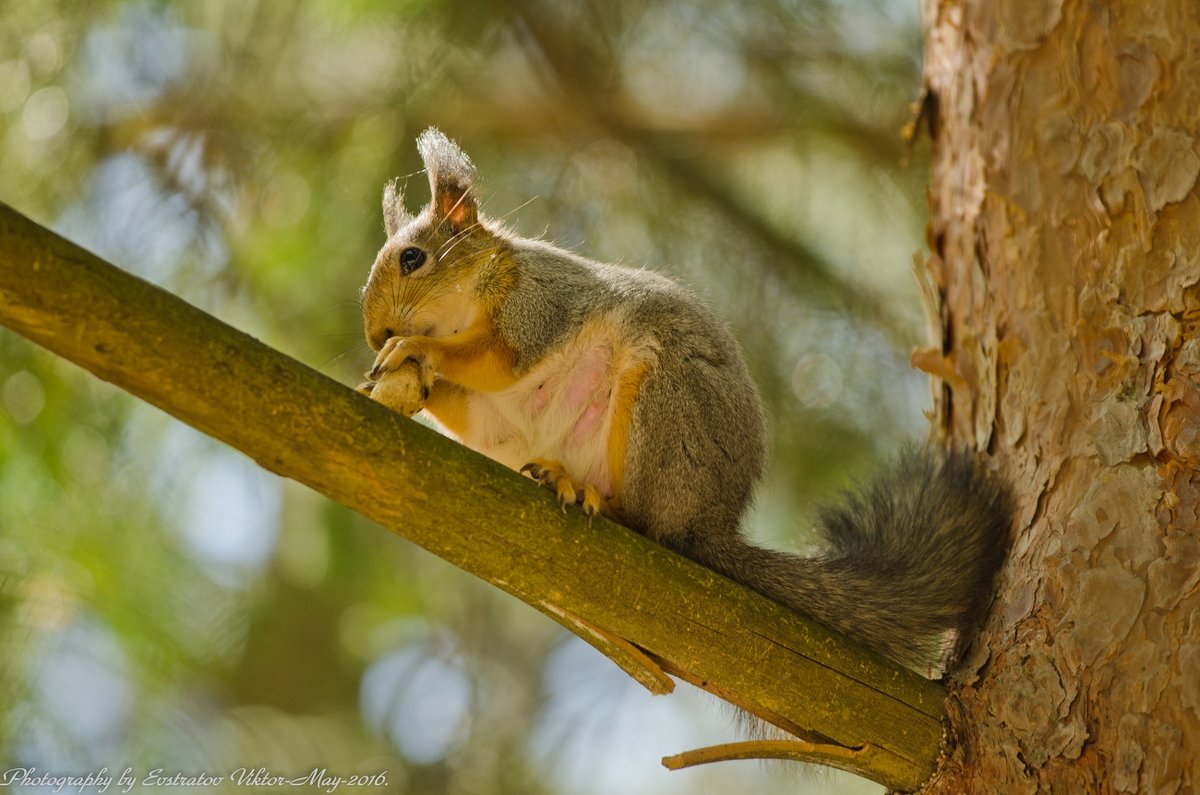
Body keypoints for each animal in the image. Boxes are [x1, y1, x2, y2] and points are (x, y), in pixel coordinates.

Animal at [357, 127, 1012, 677]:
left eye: (413, 258)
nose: (374, 334)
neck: (481, 286)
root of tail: (711, 523)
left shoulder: (538, 304)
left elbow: (500, 358)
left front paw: (416, 347)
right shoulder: (486, 402)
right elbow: (468, 402)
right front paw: (402, 377)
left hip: (664, 409)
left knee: (654, 526)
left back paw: (598, 499)